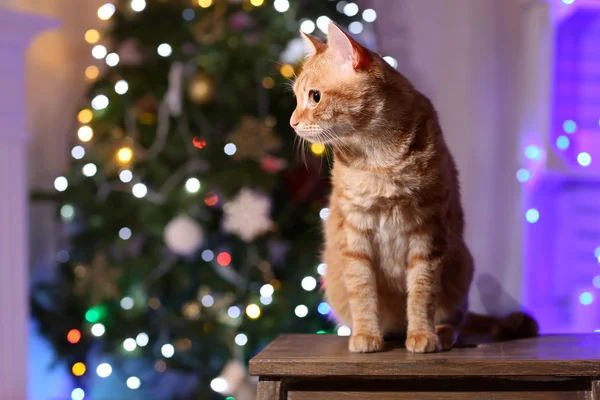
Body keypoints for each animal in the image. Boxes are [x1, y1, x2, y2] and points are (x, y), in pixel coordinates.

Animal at [290, 22, 540, 354]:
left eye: (315, 97)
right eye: (295, 98)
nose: (292, 122)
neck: (378, 161)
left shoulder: (427, 234)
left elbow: (422, 293)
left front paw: (423, 334)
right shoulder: (355, 235)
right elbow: (362, 291)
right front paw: (366, 334)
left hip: (460, 266)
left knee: (455, 318)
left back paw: (441, 333)